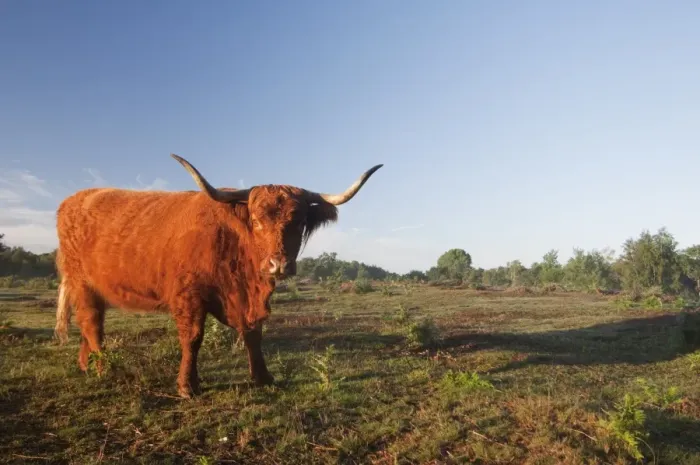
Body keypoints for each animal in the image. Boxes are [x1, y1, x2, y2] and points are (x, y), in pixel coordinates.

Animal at [54, 154, 382, 398]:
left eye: (299, 220)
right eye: (256, 220)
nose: (278, 264)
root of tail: (74, 200)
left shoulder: (247, 300)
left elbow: (253, 334)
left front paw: (263, 377)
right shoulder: (189, 296)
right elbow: (193, 338)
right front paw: (187, 386)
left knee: (90, 325)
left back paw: (87, 366)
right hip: (82, 283)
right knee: (92, 324)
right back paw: (104, 369)